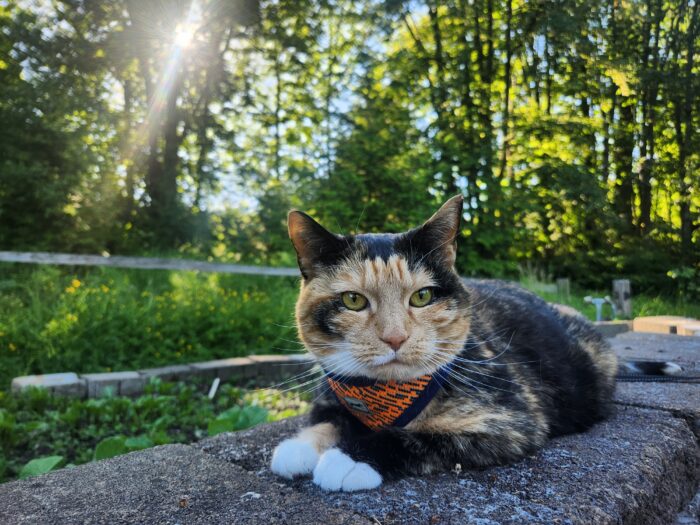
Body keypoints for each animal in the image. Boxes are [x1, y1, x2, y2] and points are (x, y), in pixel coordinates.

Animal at [270, 196, 616, 492]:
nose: (395, 337)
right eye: (353, 300)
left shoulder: (511, 419)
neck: (385, 396)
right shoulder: (333, 395)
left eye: (422, 296)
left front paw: (349, 459)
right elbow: (329, 419)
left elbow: (416, 438)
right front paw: (299, 446)